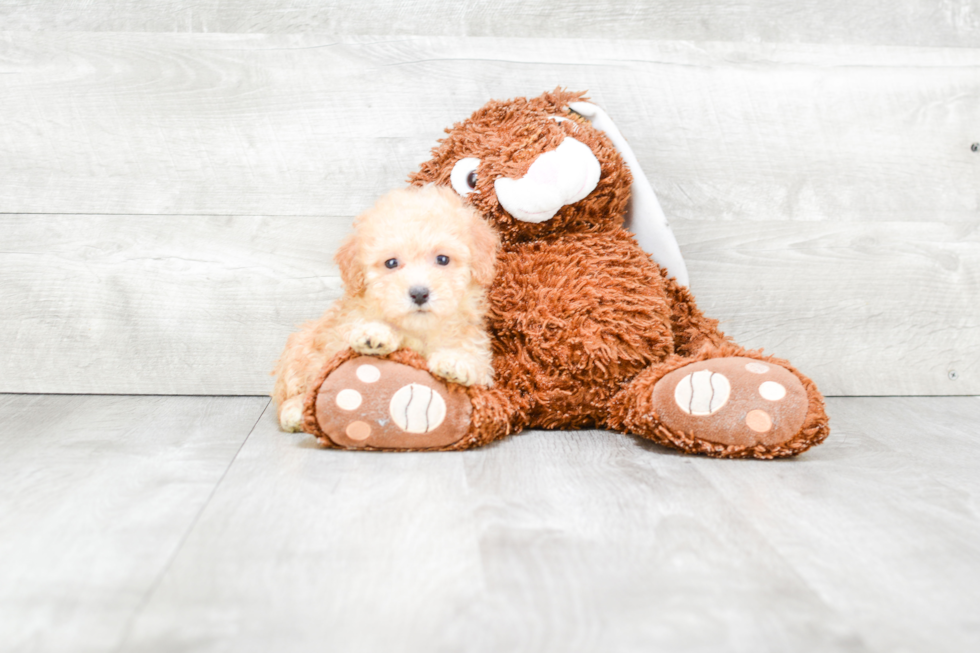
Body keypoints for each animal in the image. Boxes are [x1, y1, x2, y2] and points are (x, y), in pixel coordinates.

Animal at [274, 182, 498, 432]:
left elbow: (475, 359)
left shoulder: (476, 347)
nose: (419, 293)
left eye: (442, 259)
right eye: (391, 263)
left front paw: (457, 361)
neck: (418, 330)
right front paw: (375, 334)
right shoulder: (340, 334)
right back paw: (295, 411)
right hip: (300, 349)